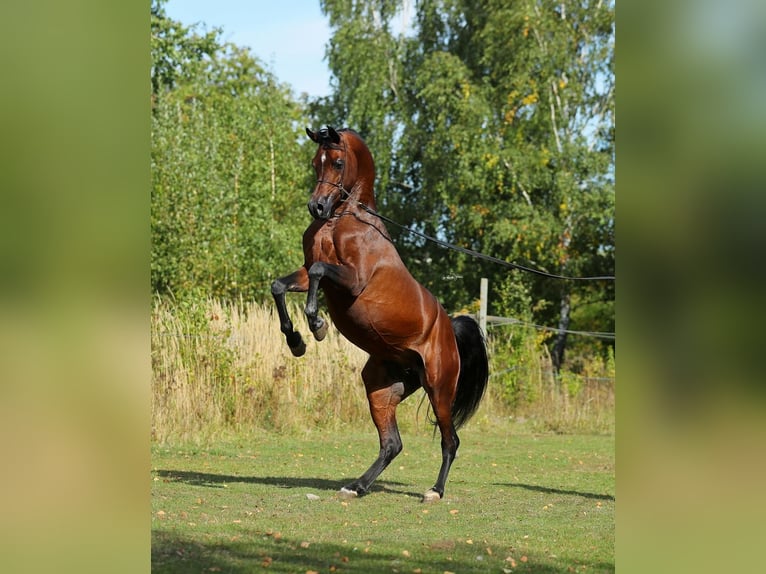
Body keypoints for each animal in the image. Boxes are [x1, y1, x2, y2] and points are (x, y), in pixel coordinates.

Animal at [272, 127, 488, 504]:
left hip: (439, 389)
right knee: (392, 444)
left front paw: (317, 325)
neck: (342, 220)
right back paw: (356, 486)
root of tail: (450, 330)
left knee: (451, 441)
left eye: (337, 162)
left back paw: (434, 491)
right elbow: (280, 286)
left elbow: (317, 271)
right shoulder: (305, 275)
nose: (317, 207)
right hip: (381, 388)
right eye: (316, 162)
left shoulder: (351, 280)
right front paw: (296, 341)